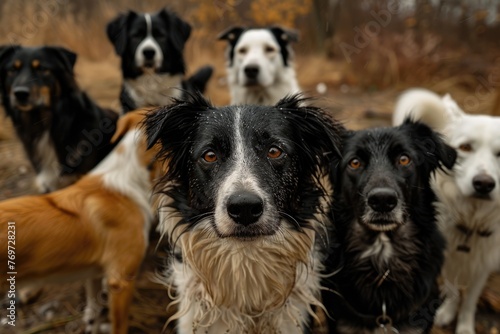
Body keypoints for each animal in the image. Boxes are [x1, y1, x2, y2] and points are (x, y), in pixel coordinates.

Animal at [392, 88, 500, 334]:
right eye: (465, 147)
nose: (484, 184)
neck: (471, 219)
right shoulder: (448, 255)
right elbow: (452, 288)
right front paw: (447, 312)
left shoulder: (482, 264)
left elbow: (470, 299)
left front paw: (465, 326)